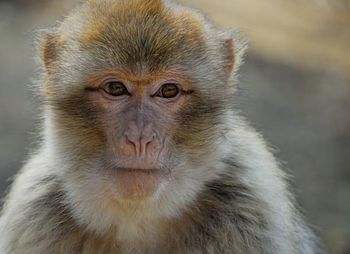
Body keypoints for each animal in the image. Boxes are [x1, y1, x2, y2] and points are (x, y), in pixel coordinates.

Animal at [0, 0, 322, 253]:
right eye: (115, 88)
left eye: (168, 91)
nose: (140, 139)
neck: (138, 218)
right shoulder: (33, 214)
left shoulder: (252, 206)